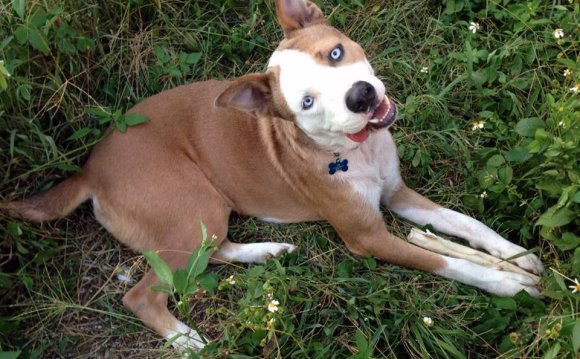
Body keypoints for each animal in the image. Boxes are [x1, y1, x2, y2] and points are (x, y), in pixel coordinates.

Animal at [1, 0, 544, 354]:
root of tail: (88, 169)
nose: (362, 96)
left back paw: (269, 252)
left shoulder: (397, 193)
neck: (352, 152)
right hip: (191, 202)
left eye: (335, 53)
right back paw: (187, 340)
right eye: (305, 103)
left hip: (202, 217)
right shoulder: (367, 237)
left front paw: (517, 257)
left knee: (213, 250)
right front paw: (510, 285)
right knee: (142, 293)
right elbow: (448, 263)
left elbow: (467, 224)